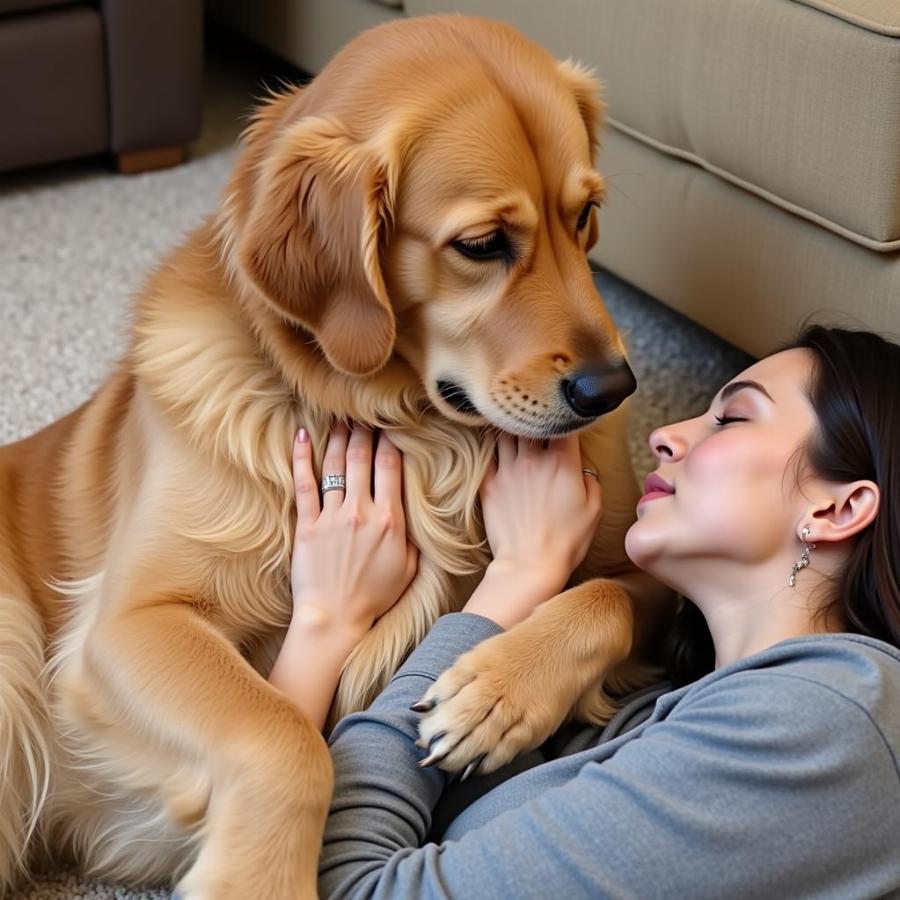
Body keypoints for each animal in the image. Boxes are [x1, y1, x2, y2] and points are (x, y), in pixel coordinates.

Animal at [0, 14, 668, 900]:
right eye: (482, 244)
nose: (612, 389)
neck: (422, 436)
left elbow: (606, 597)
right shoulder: (130, 621)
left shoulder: (643, 556)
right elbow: (282, 729)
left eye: (586, 214)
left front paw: (495, 690)